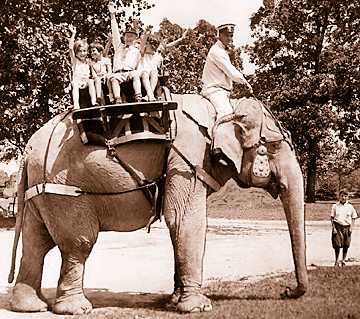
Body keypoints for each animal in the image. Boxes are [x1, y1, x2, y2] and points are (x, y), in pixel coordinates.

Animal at [7, 95, 306, 316]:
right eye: (273, 147)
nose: (286, 292)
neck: (222, 109)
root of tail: (27, 151)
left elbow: (178, 224)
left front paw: (173, 302)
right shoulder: (187, 157)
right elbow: (185, 220)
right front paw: (199, 308)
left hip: (40, 191)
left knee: (36, 242)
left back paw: (30, 307)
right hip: (65, 191)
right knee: (78, 243)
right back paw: (76, 309)